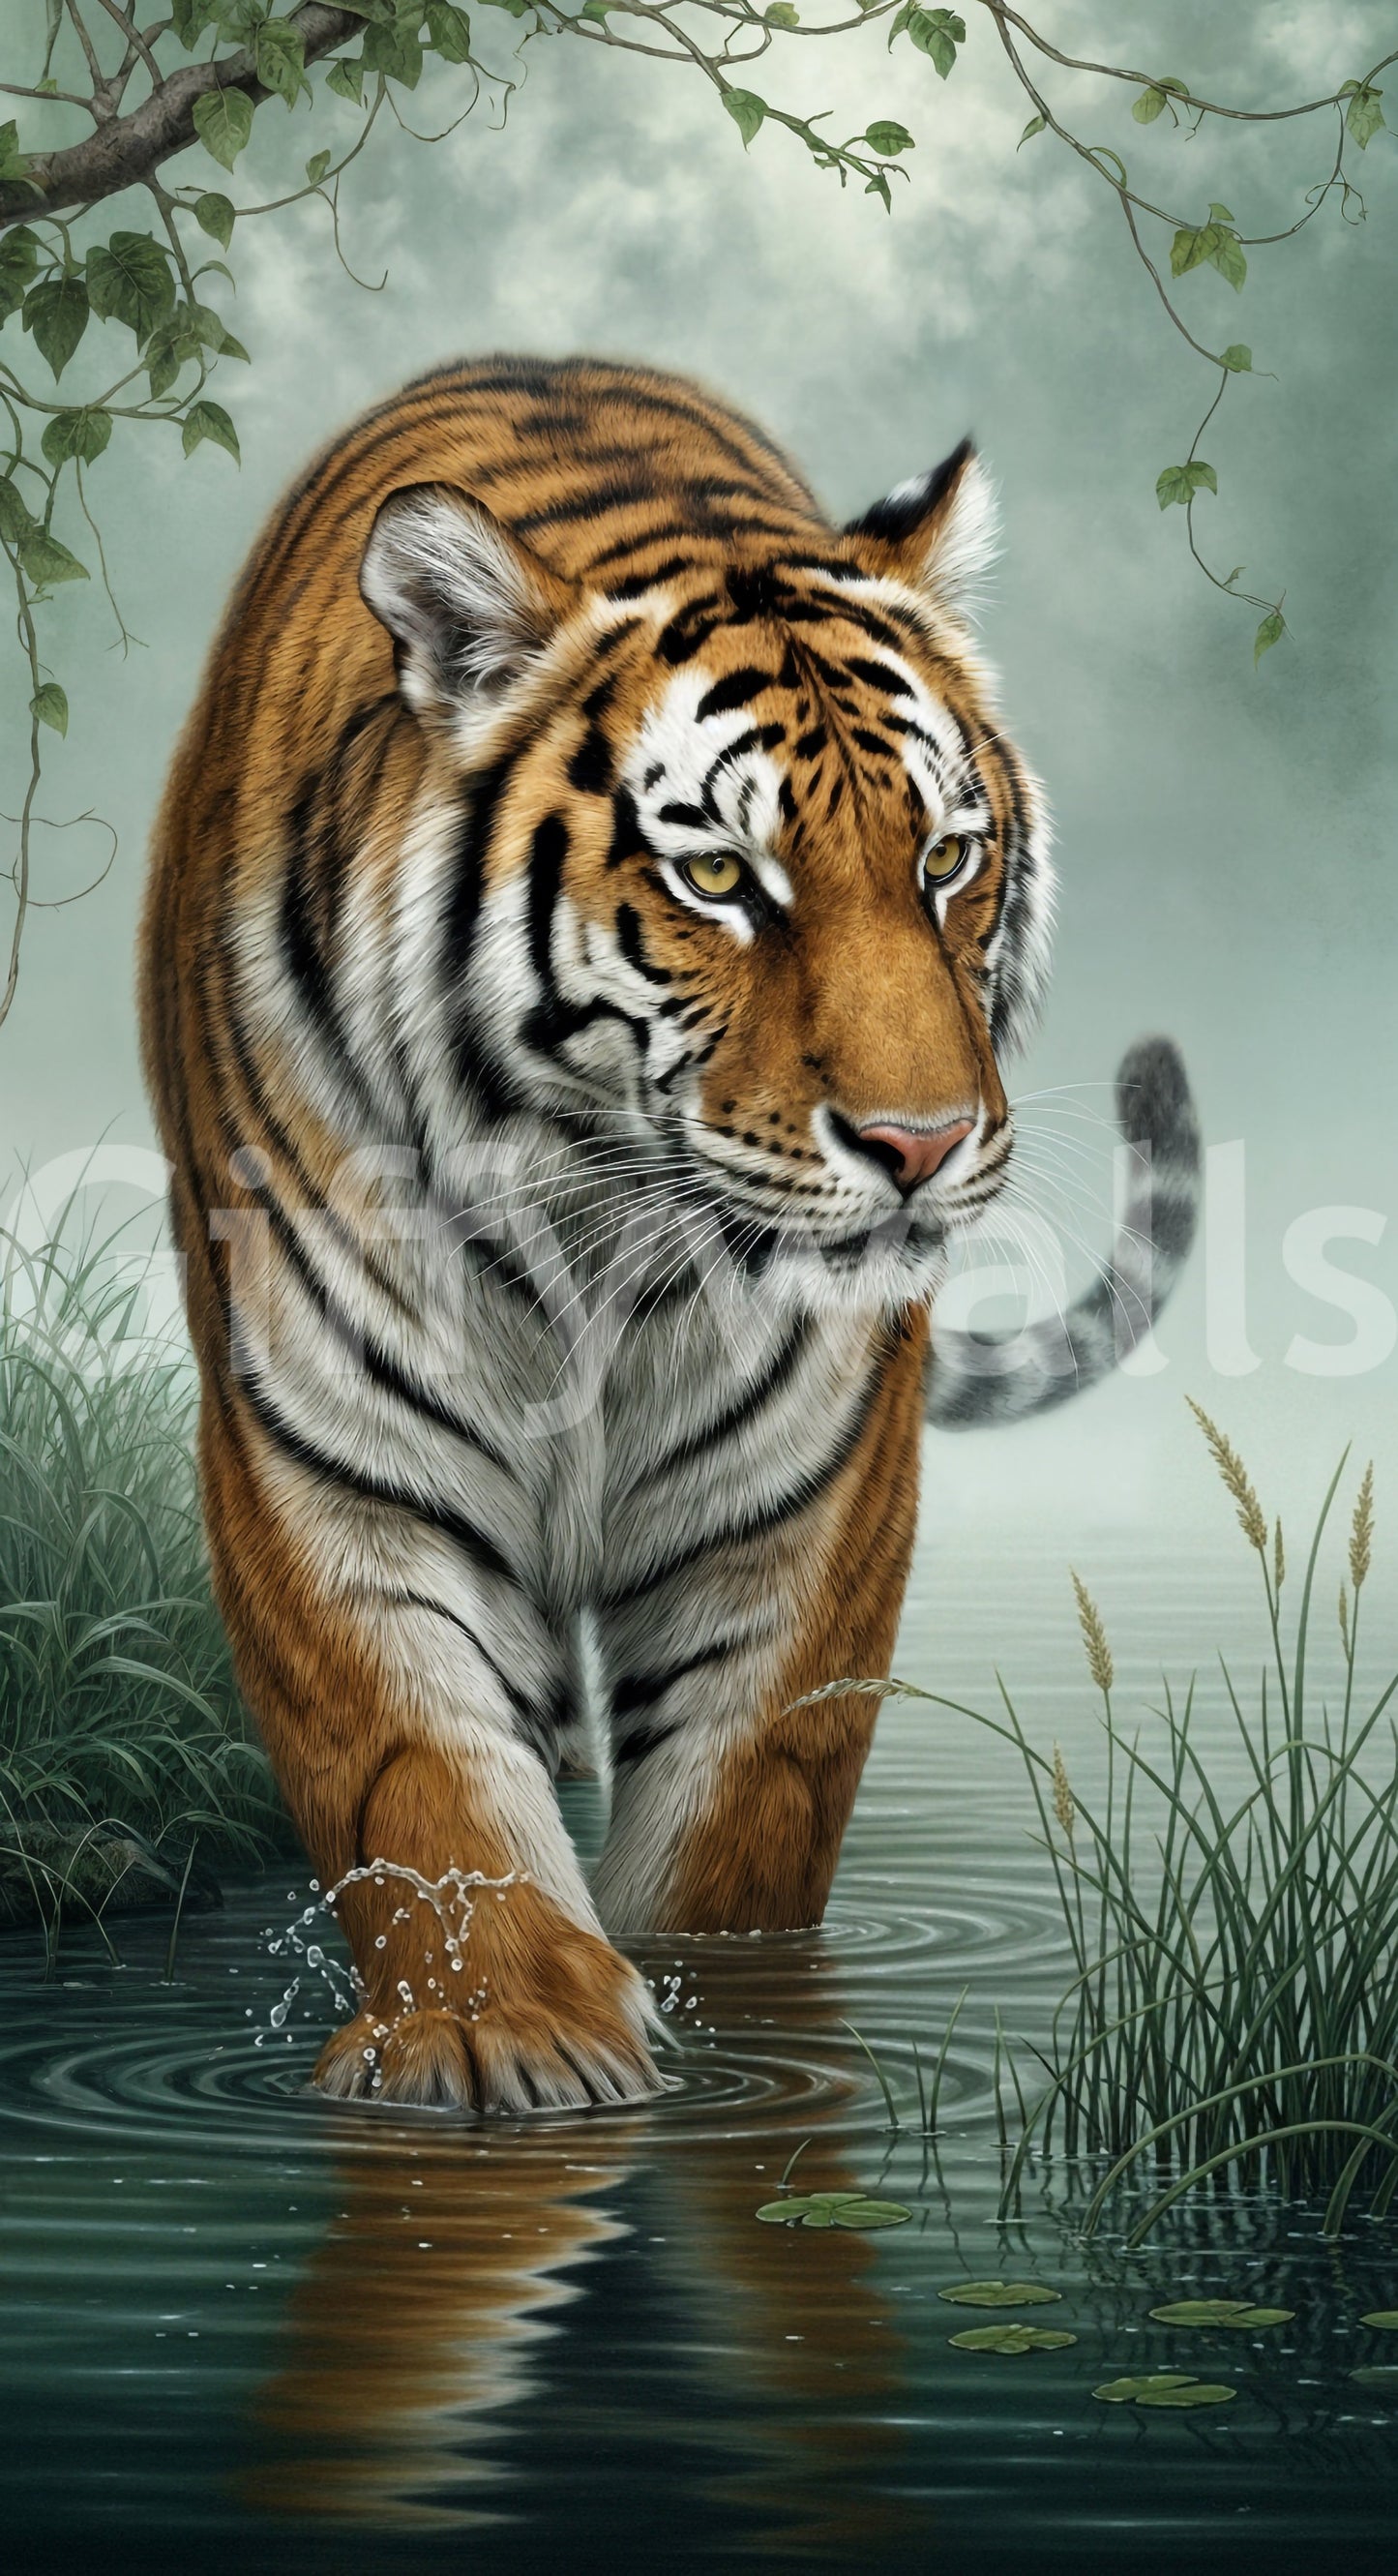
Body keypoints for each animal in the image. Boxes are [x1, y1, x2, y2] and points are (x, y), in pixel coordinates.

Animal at [140, 355, 1199, 2114]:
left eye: (946, 857)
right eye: (717, 874)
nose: (923, 1145)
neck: (596, 1229)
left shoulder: (798, 1503)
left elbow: (740, 1819)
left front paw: (736, 2030)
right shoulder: (329, 1453)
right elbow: (416, 1768)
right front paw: (501, 2031)